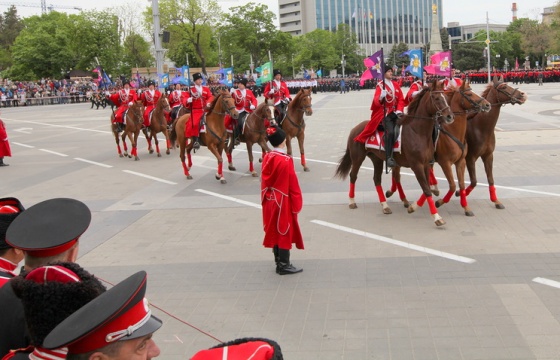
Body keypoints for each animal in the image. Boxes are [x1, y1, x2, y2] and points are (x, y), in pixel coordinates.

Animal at [334, 81, 458, 226]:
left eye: (446, 97)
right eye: (437, 98)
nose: (450, 116)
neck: (418, 132)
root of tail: (355, 128)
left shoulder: (427, 164)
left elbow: (426, 188)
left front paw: (413, 207)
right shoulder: (417, 165)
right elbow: (426, 189)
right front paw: (436, 217)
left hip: (377, 159)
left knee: (377, 179)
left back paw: (385, 205)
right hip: (358, 158)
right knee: (353, 176)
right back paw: (352, 201)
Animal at [384, 81, 490, 217]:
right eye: (470, 94)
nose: (487, 104)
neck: (454, 132)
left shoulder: (460, 162)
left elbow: (461, 184)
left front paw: (466, 207)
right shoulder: (445, 162)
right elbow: (452, 186)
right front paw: (439, 202)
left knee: (397, 175)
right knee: (397, 175)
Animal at [462, 77, 528, 210]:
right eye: (503, 87)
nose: (522, 95)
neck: (481, 128)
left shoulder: (488, 156)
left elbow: (490, 179)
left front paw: (496, 200)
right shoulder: (470, 158)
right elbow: (474, 181)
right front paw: (461, 195)